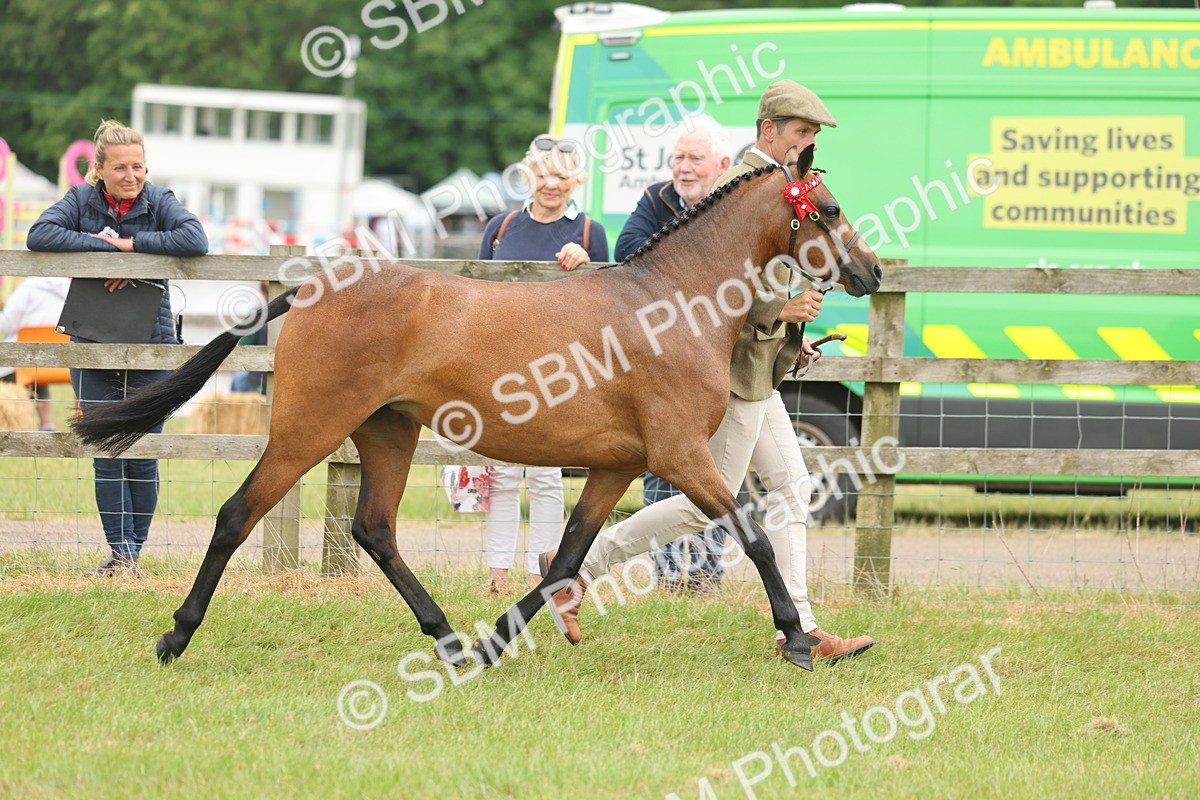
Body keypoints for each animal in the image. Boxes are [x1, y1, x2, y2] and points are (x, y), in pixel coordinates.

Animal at [73, 146, 881, 672]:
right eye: (830, 209)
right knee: (237, 515)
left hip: (389, 432)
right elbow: (757, 537)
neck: (672, 303)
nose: (872, 271)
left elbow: (565, 558)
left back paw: (451, 640)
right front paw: (799, 640)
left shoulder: (616, 467)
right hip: (309, 429)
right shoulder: (682, 456)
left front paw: (497, 640)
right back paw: (175, 638)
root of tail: (312, 287)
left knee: (374, 529)